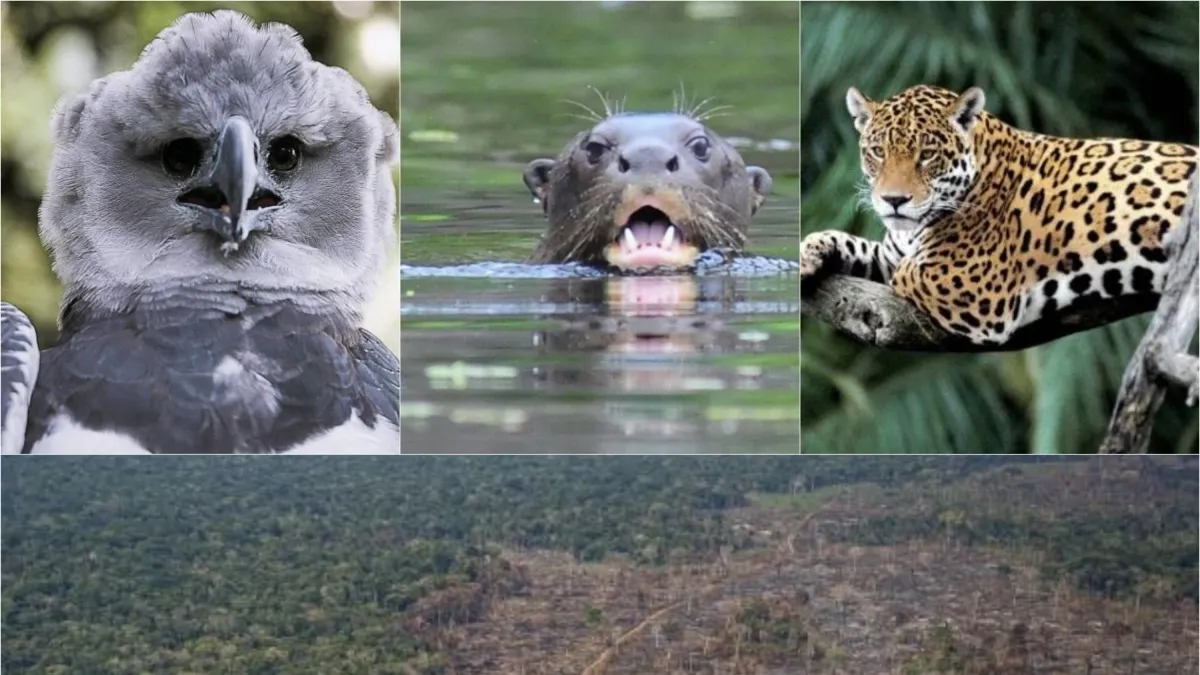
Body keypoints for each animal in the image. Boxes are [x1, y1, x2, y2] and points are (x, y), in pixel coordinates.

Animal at [800, 84, 1198, 347]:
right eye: (878, 151)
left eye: (927, 155)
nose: (893, 200)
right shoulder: (890, 253)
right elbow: (852, 245)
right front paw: (807, 254)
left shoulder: (971, 285)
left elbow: (905, 274)